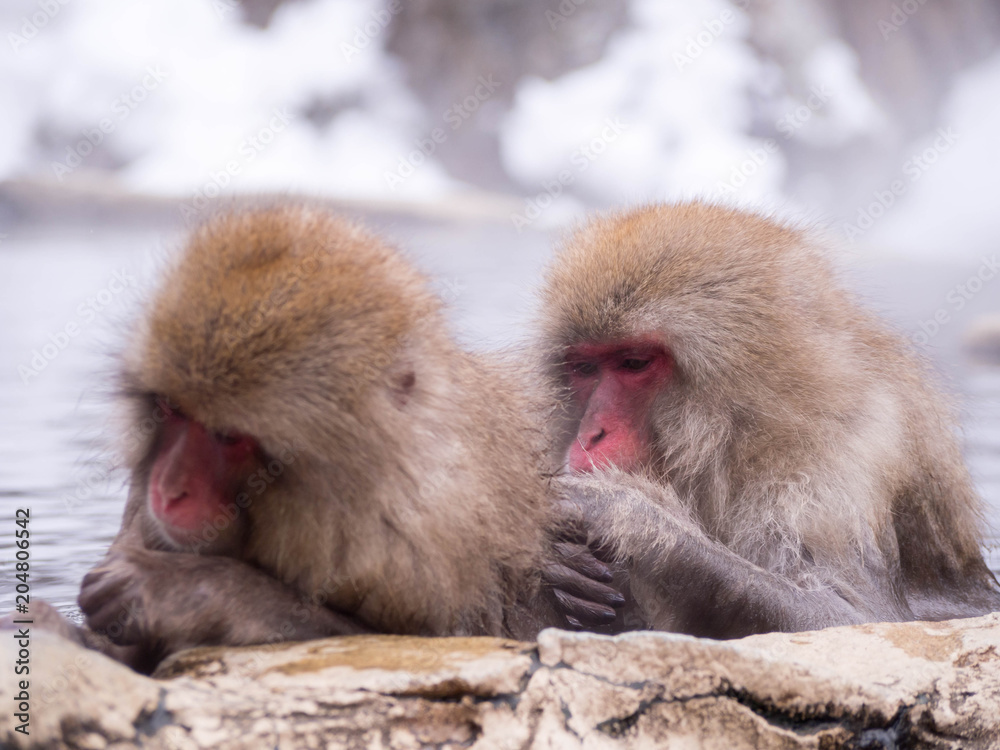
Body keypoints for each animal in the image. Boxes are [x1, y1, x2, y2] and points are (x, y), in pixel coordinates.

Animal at [539, 201, 1000, 639]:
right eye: (584, 368)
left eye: (633, 363)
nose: (591, 434)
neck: (746, 432)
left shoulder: (838, 464)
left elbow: (853, 617)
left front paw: (625, 514)